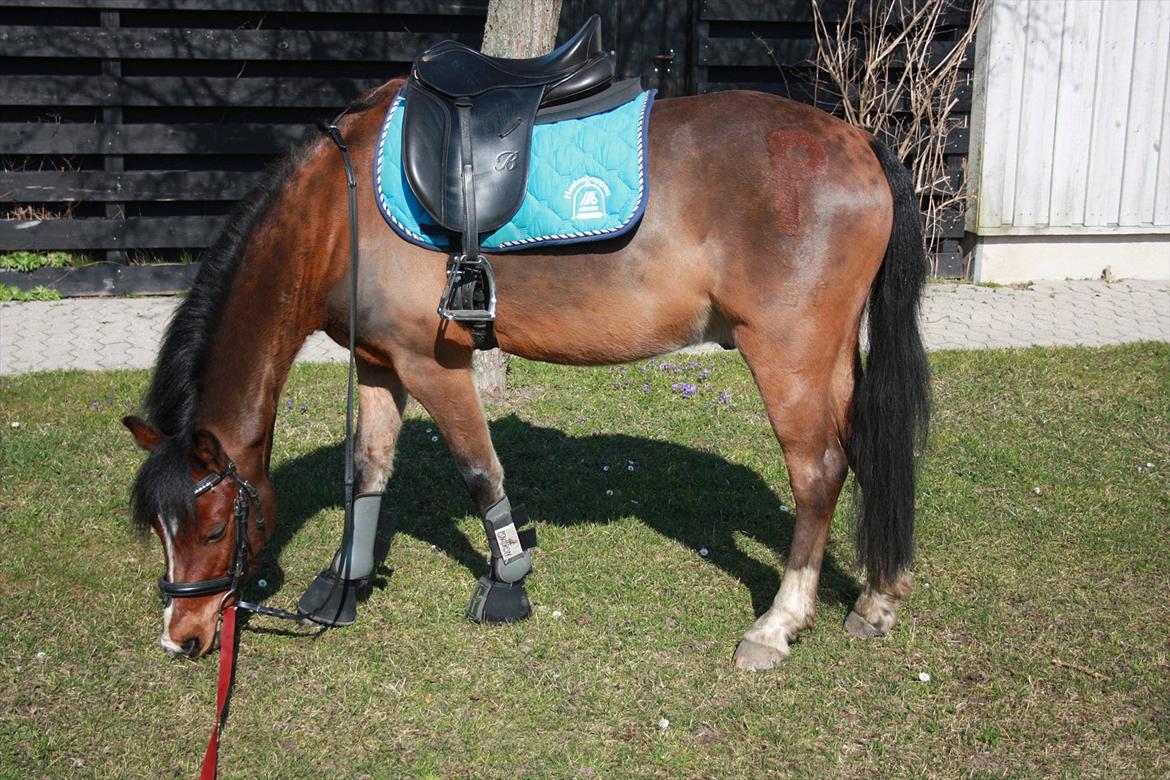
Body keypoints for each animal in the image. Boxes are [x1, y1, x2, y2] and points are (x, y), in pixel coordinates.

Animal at [122, 76, 929, 671]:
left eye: (215, 525)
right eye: (158, 529)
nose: (182, 634)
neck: (335, 214)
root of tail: (858, 139)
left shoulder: (433, 364)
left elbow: (482, 473)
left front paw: (505, 584)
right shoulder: (379, 365)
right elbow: (369, 468)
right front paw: (344, 585)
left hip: (788, 355)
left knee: (819, 472)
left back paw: (779, 624)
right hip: (829, 359)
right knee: (865, 454)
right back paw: (878, 599)